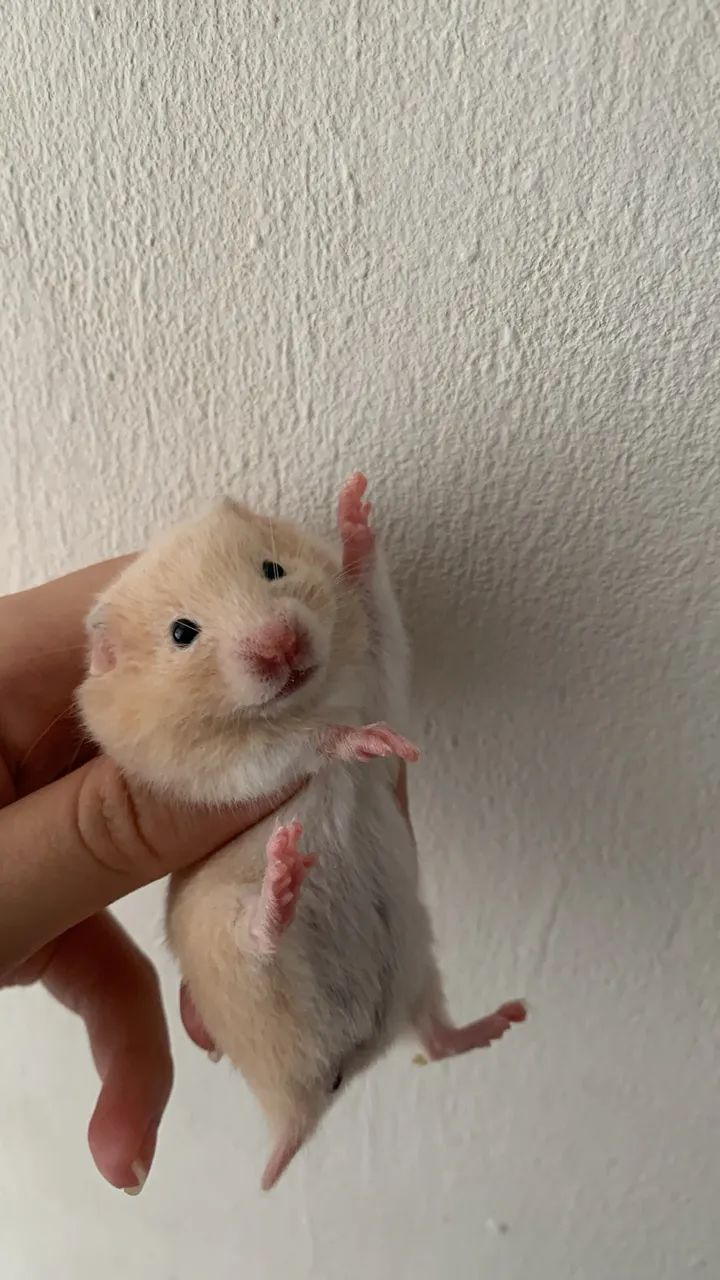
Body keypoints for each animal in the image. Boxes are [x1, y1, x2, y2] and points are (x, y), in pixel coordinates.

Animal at [78, 474, 526, 1190]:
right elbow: (292, 745)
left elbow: (375, 612)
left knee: (434, 1039)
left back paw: (500, 1024)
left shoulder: (381, 674)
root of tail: (310, 1096)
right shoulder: (205, 772)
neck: (300, 696)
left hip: (418, 959)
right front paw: (364, 742)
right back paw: (283, 878)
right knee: (256, 946)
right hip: (220, 939)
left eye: (272, 569)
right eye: (182, 632)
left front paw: (355, 508)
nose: (282, 644)